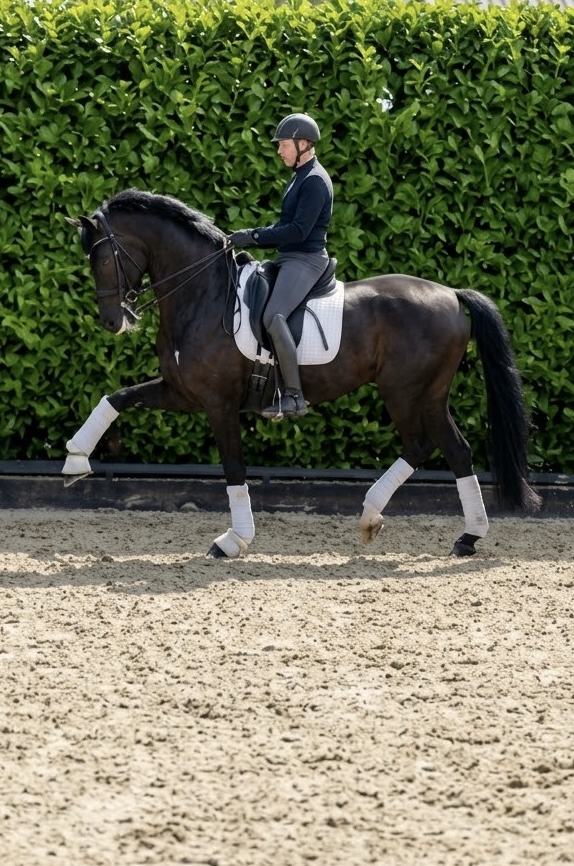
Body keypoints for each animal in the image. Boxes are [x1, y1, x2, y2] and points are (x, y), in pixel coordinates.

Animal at [63, 188, 541, 558]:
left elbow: (233, 468)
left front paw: (233, 540)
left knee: (424, 445)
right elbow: (116, 398)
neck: (203, 294)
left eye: (101, 260)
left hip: (407, 391)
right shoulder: (181, 391)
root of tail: (452, 294)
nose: (113, 321)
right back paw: (462, 537)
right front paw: (75, 460)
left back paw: (380, 517)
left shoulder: (218, 403)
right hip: (428, 394)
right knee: (455, 451)